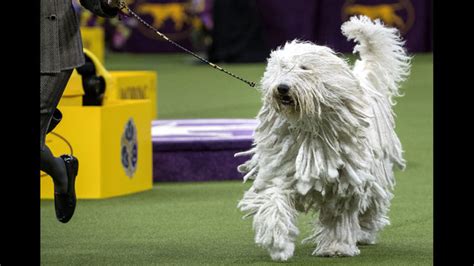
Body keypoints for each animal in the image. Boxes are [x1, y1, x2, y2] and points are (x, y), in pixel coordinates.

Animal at [236, 15, 412, 260]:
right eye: (281, 68)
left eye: (304, 68)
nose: (282, 88)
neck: (308, 127)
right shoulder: (280, 170)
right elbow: (274, 200)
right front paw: (278, 242)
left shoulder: (344, 184)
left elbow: (338, 216)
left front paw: (335, 247)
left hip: (375, 171)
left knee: (373, 202)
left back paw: (365, 232)